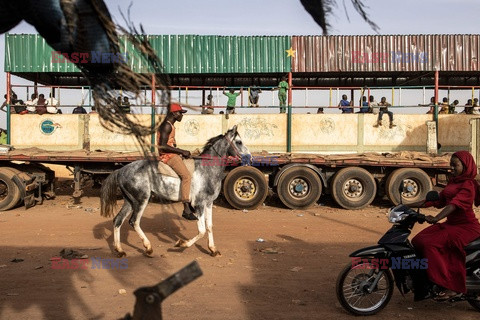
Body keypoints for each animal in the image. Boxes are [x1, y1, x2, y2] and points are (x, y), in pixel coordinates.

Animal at [101, 125, 251, 258]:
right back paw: (148, 248)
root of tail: (121, 170)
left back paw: (120, 250)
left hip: (129, 201)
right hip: (141, 200)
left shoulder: (208, 203)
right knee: (134, 222)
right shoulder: (199, 204)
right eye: (239, 142)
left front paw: (213, 249)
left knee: (118, 220)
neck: (206, 169)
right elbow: (202, 230)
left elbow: (209, 226)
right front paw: (181, 243)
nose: (249, 157)